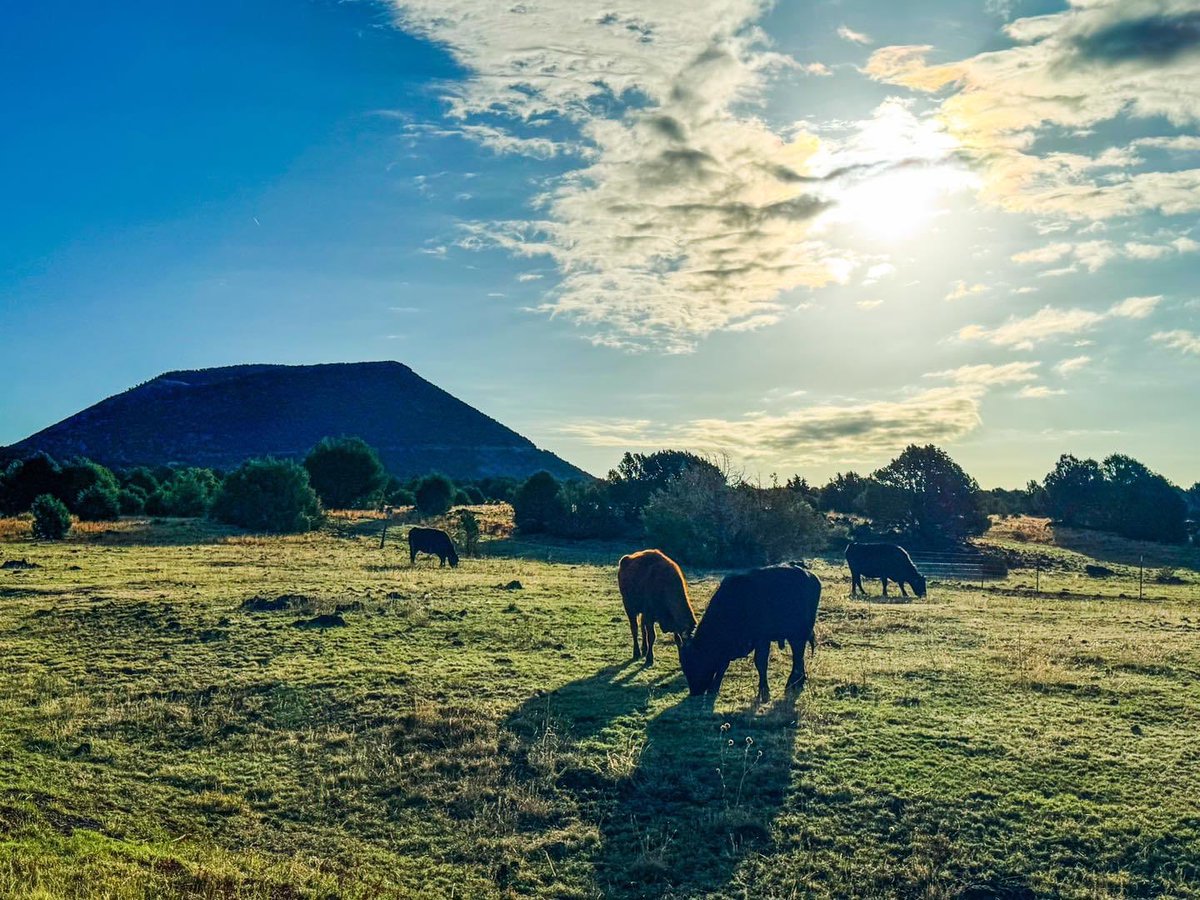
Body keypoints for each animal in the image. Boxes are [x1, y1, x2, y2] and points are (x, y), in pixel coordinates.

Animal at [681, 564, 820, 705]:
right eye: (685, 667)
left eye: (694, 663)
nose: (694, 692)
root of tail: (811, 576)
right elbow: (722, 665)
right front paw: (714, 688)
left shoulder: (762, 639)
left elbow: (760, 663)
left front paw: (764, 691)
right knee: (799, 657)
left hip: (798, 634)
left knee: (798, 656)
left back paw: (793, 683)